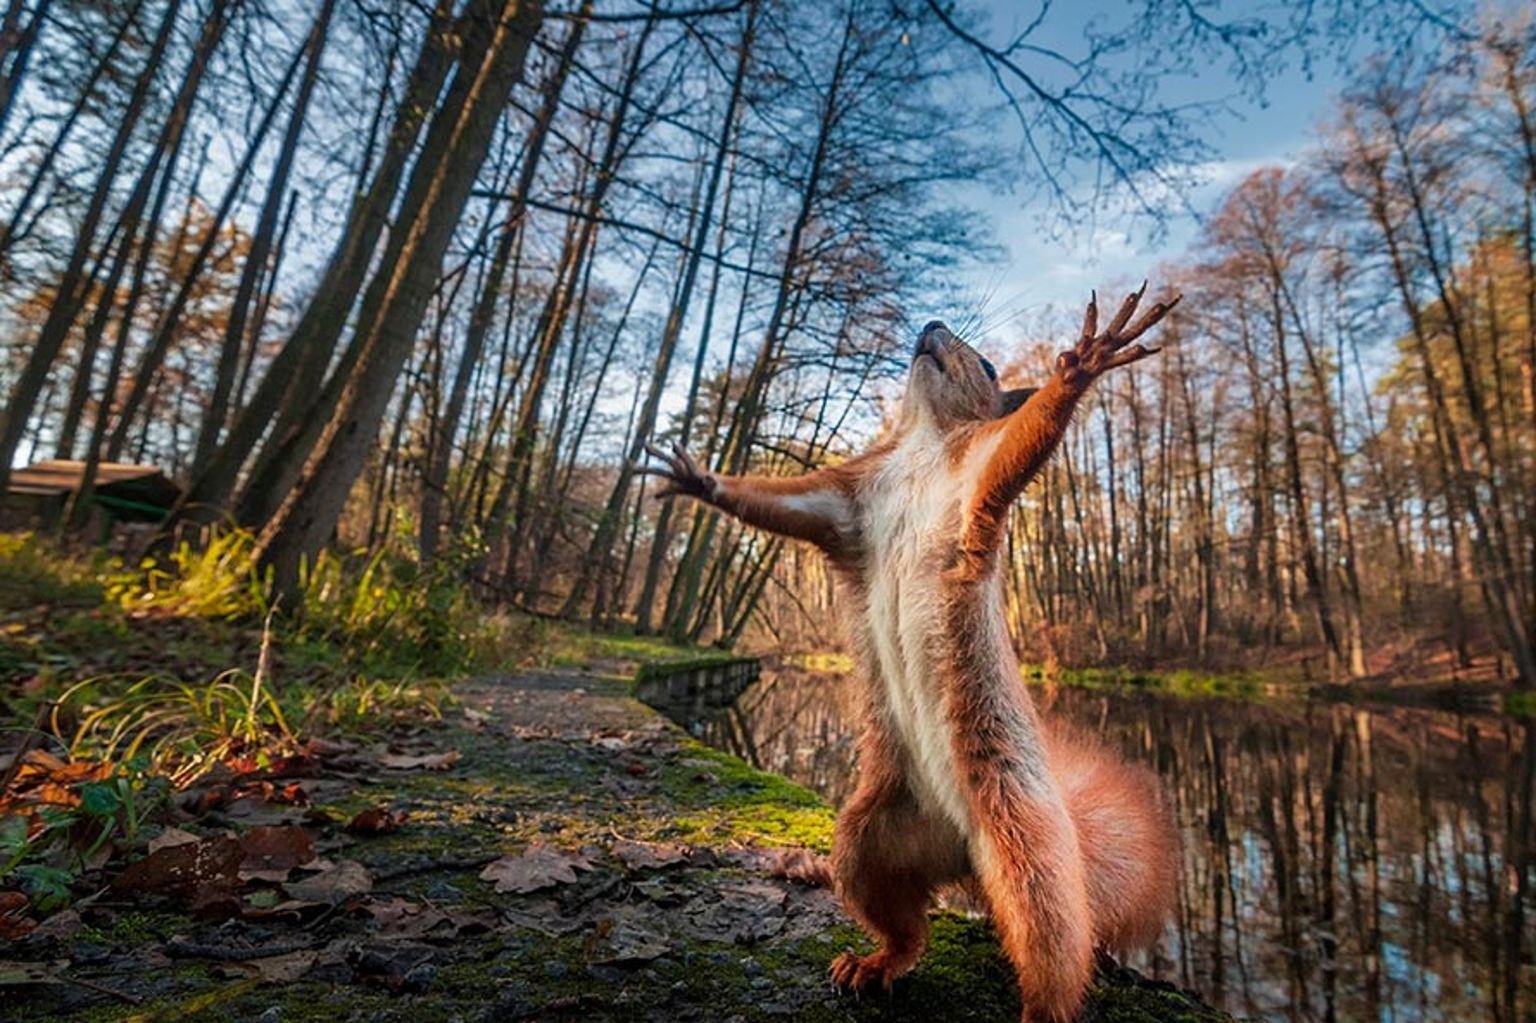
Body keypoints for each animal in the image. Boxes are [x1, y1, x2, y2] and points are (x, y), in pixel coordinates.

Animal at [644, 284, 1182, 1023]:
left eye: (987, 364)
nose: (930, 325)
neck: (924, 442)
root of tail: (963, 856)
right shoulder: (847, 504)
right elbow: (779, 505)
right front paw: (701, 480)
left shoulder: (979, 475)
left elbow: (1027, 439)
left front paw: (1083, 363)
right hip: (869, 838)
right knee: (906, 925)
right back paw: (874, 963)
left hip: (1028, 848)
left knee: (1052, 948)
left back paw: (1038, 1004)